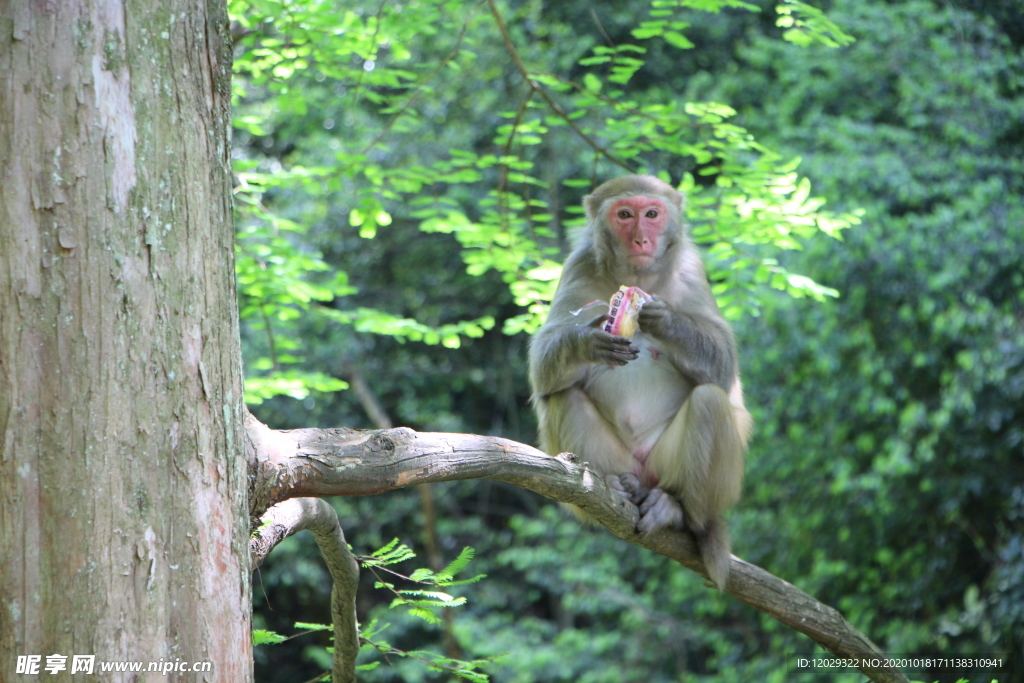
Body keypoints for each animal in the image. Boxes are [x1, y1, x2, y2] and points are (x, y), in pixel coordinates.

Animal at [528, 174, 753, 589]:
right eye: (624, 215)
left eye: (651, 214)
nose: (640, 241)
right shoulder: (578, 265)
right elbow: (543, 366)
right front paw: (586, 343)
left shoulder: (691, 268)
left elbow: (722, 363)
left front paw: (665, 321)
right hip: (622, 462)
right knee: (563, 396)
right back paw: (611, 487)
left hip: (674, 468)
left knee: (710, 402)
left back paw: (677, 512)